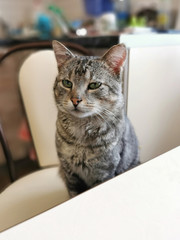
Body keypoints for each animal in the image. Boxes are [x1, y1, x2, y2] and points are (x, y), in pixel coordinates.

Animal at [52, 40, 139, 197]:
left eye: (94, 85)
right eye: (67, 83)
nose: (75, 100)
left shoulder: (104, 173)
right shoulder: (69, 172)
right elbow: (73, 193)